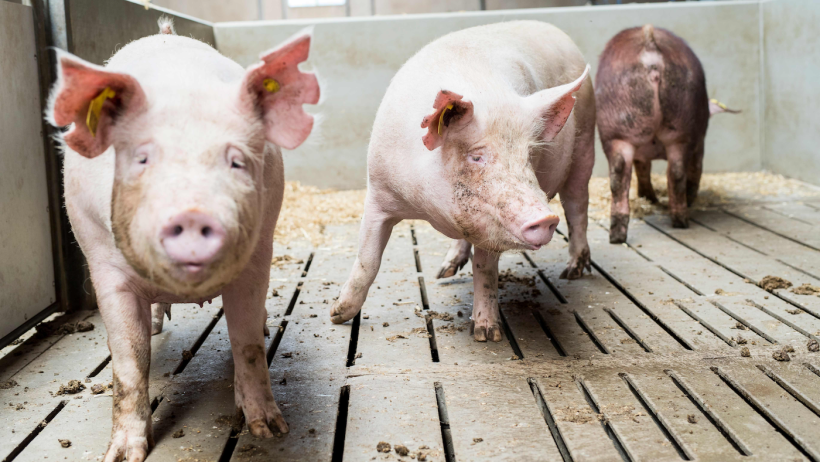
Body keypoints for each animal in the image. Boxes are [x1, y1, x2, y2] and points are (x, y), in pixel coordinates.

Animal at [46, 19, 319, 461]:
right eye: (142, 159)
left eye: (236, 161)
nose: (192, 213)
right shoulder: (104, 266)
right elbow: (129, 358)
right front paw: (122, 455)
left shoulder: (256, 257)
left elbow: (246, 344)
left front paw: (271, 430)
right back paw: (157, 328)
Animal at [330, 21, 595, 342]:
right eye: (476, 157)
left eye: (529, 156)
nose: (545, 219)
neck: (428, 208)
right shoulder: (378, 194)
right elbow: (367, 260)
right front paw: (336, 316)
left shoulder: (492, 224)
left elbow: (485, 271)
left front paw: (487, 335)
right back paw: (444, 272)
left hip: (585, 145)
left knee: (577, 207)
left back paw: (573, 272)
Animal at [596, 25, 738, 243]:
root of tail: (650, 48)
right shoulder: (699, 143)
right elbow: (693, 168)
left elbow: (642, 168)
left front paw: (649, 198)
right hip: (681, 127)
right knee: (678, 171)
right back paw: (681, 220)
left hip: (616, 126)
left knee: (619, 173)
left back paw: (618, 236)